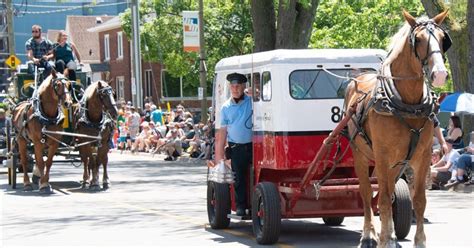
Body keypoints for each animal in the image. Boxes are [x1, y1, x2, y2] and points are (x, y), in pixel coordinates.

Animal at [346, 10, 450, 248]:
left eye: (442, 38)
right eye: (418, 39)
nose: (440, 74)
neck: (406, 104)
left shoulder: (423, 156)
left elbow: (418, 200)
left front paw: (419, 241)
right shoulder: (383, 155)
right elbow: (383, 198)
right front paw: (382, 239)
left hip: (398, 162)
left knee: (390, 189)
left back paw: (391, 234)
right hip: (361, 154)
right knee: (367, 193)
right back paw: (369, 235)